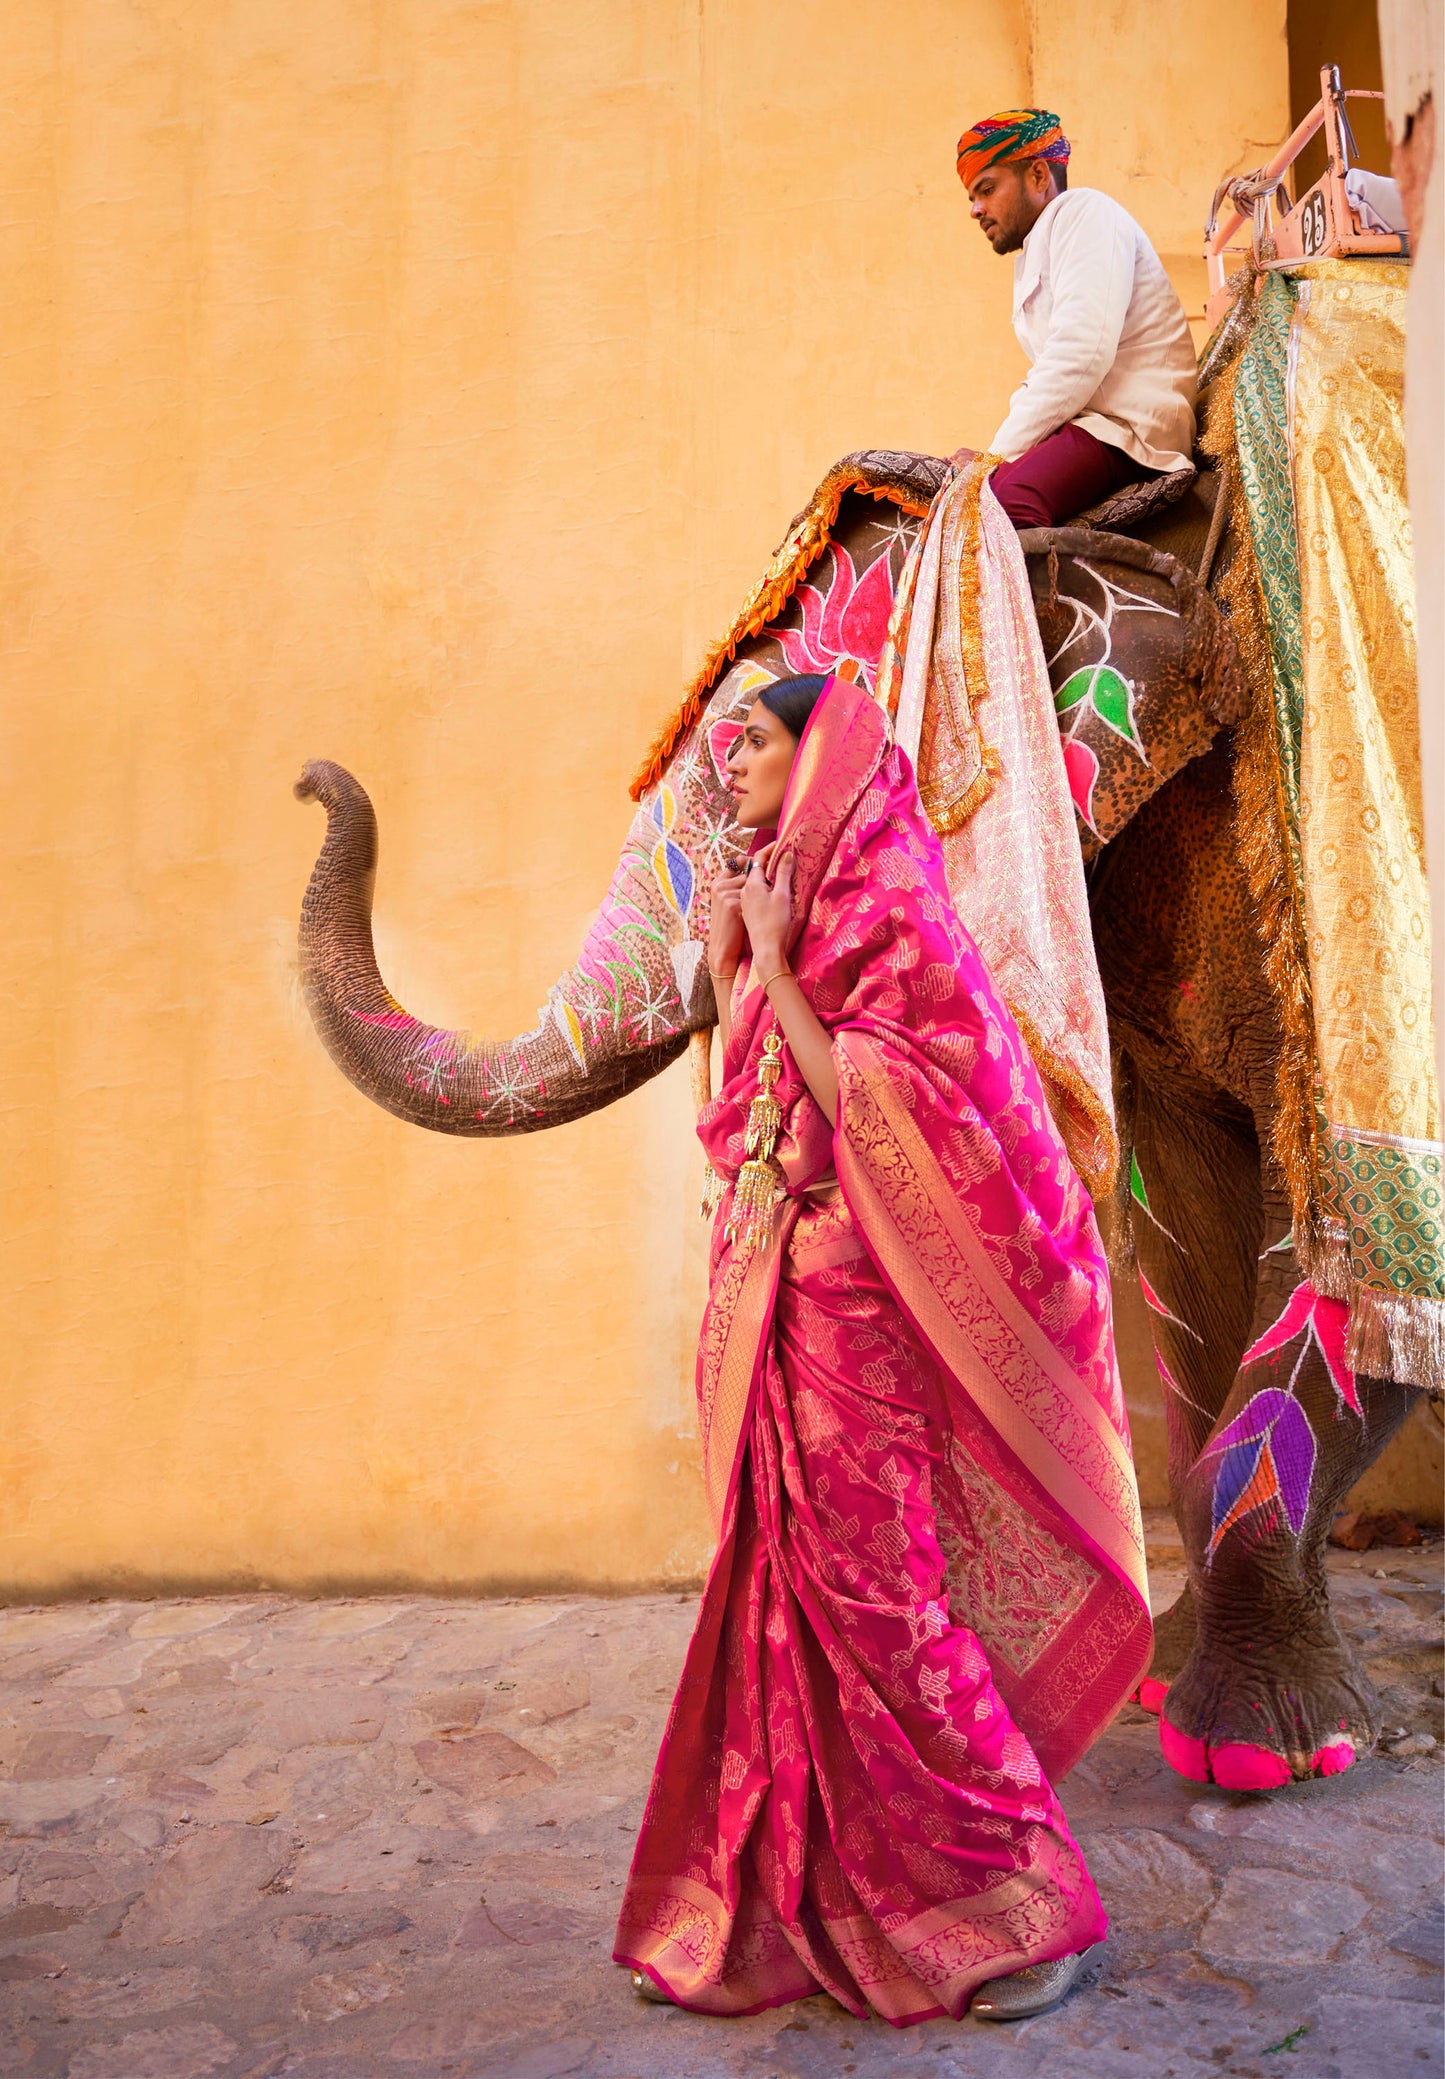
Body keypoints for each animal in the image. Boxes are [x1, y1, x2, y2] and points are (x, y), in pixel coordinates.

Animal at [293, 438, 1422, 1787]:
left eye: (737, 763)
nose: (312, 780)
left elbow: (1354, 1247)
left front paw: (1256, 1758)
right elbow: (1184, 1243)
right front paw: (1165, 1689)